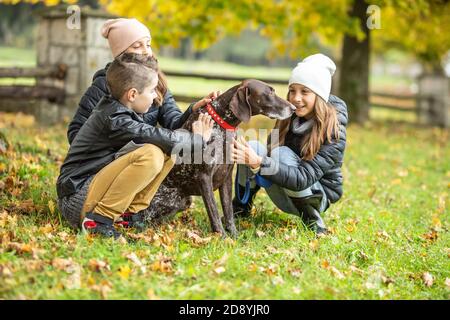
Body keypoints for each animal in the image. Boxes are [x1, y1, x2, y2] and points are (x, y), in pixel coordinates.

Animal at [142, 79, 296, 236]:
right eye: (270, 93)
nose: (294, 108)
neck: (221, 124)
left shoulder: (226, 176)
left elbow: (228, 211)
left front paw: (233, 235)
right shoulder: (204, 177)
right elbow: (214, 211)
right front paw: (221, 236)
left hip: (184, 201)